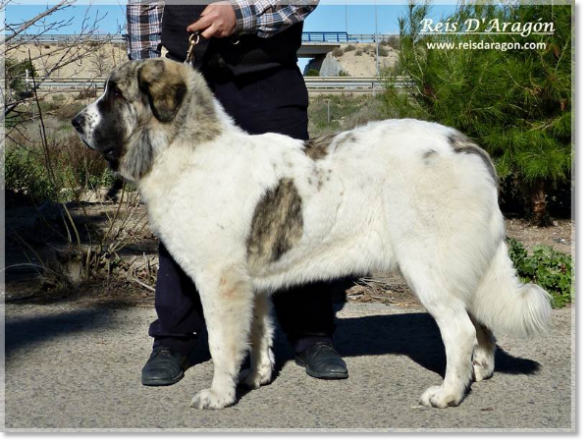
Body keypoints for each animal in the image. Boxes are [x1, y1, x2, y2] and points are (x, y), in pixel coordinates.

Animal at [70, 59, 548, 412]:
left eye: (115, 94)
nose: (75, 121)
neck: (186, 150)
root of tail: (466, 145)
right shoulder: (251, 285)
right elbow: (256, 334)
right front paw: (255, 377)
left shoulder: (220, 282)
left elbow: (222, 343)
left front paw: (220, 395)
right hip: (461, 265)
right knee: (481, 323)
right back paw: (477, 372)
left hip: (428, 266)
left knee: (460, 329)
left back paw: (448, 393)